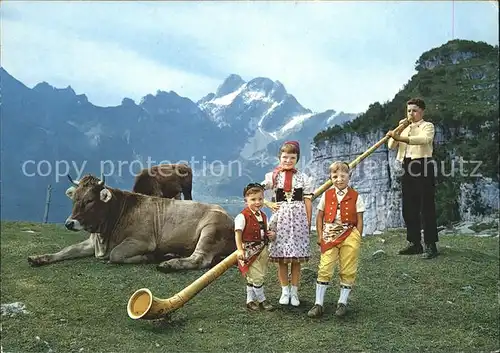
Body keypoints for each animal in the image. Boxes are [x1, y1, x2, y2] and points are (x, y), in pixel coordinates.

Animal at [27, 173, 236, 270]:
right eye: (75, 199)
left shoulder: (142, 241)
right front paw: (39, 258)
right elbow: (67, 250)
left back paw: (168, 264)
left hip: (210, 230)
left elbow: (116, 254)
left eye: (89, 200)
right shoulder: (91, 242)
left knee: (200, 259)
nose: (69, 223)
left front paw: (148, 257)